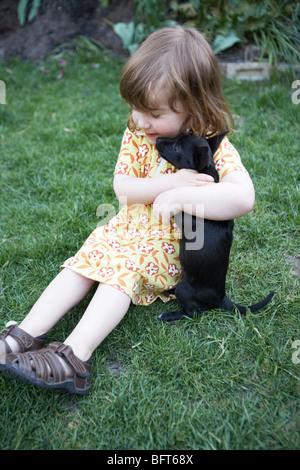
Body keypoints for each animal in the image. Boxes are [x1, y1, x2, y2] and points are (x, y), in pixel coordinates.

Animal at [156, 134, 274, 322]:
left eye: (177, 147)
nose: (158, 139)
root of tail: (221, 298)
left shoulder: (184, 215)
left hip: (185, 287)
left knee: (194, 312)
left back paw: (169, 315)